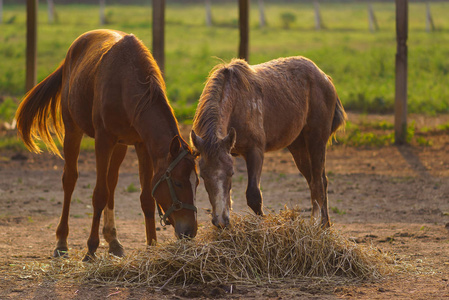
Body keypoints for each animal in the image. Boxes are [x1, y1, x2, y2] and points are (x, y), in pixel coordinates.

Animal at [15, 29, 198, 262]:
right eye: (178, 183)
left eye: (197, 183)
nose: (190, 230)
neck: (126, 82)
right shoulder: (103, 140)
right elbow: (99, 194)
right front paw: (91, 249)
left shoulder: (142, 145)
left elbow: (146, 197)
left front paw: (152, 246)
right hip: (73, 131)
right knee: (70, 180)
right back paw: (62, 242)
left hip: (120, 145)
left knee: (112, 181)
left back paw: (113, 241)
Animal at [191, 57, 344, 229]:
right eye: (203, 175)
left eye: (231, 173)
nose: (220, 222)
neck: (237, 102)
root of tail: (324, 77)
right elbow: (229, 198)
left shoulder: (255, 151)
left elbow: (254, 196)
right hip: (298, 146)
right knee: (319, 181)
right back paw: (324, 225)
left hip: (316, 140)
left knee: (317, 183)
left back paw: (314, 223)